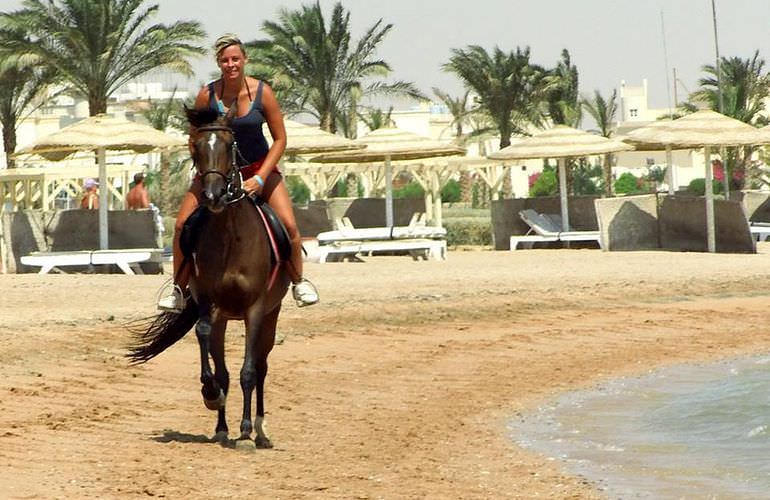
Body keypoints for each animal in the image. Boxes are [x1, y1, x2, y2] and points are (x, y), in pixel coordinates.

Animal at [127, 106, 290, 450]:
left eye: (229, 145)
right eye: (197, 148)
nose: (213, 195)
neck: (230, 235)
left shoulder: (255, 309)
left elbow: (249, 370)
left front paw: (246, 430)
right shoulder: (208, 303)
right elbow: (209, 348)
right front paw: (211, 395)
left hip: (271, 314)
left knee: (262, 366)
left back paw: (259, 430)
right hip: (224, 318)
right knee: (225, 367)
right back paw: (222, 426)